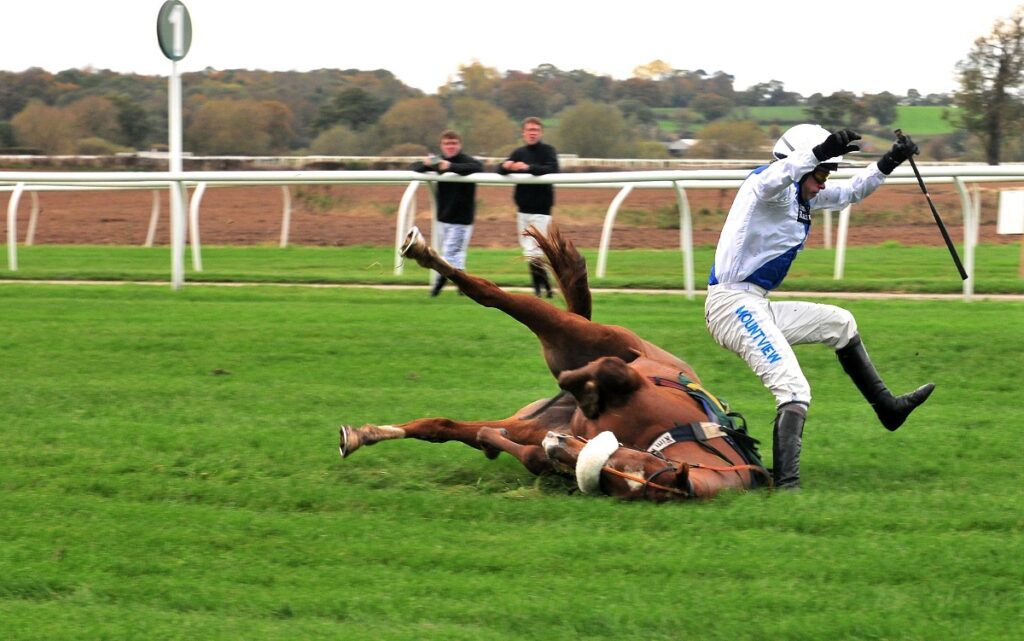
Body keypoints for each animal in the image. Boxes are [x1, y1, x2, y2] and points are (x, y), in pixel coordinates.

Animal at [337, 223, 770, 499]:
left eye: (618, 478)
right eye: (635, 461)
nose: (560, 447)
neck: (676, 435)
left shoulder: (547, 440)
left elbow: (521, 452)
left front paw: (499, 444)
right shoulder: (628, 380)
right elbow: (607, 369)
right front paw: (585, 389)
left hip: (530, 419)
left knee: (441, 426)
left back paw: (363, 434)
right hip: (577, 335)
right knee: (493, 295)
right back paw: (422, 252)